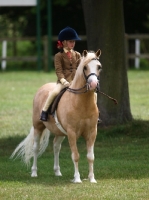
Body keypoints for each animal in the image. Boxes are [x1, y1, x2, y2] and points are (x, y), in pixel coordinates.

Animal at [10, 48, 102, 183]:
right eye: (85, 67)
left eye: (99, 67)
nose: (94, 84)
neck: (81, 103)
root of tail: (42, 88)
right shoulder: (72, 133)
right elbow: (75, 155)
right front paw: (77, 179)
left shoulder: (92, 132)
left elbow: (91, 157)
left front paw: (92, 179)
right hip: (38, 127)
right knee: (36, 148)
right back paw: (34, 172)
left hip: (60, 132)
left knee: (56, 147)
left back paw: (57, 172)